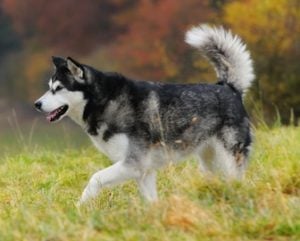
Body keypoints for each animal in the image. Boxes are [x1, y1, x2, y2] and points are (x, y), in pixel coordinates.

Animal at [35, 24, 255, 204]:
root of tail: (229, 87)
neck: (105, 101)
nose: (36, 104)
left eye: (58, 88)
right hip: (209, 161)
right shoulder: (144, 171)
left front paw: (80, 206)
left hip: (230, 157)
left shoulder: (133, 163)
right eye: (49, 87)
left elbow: (95, 178)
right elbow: (150, 201)